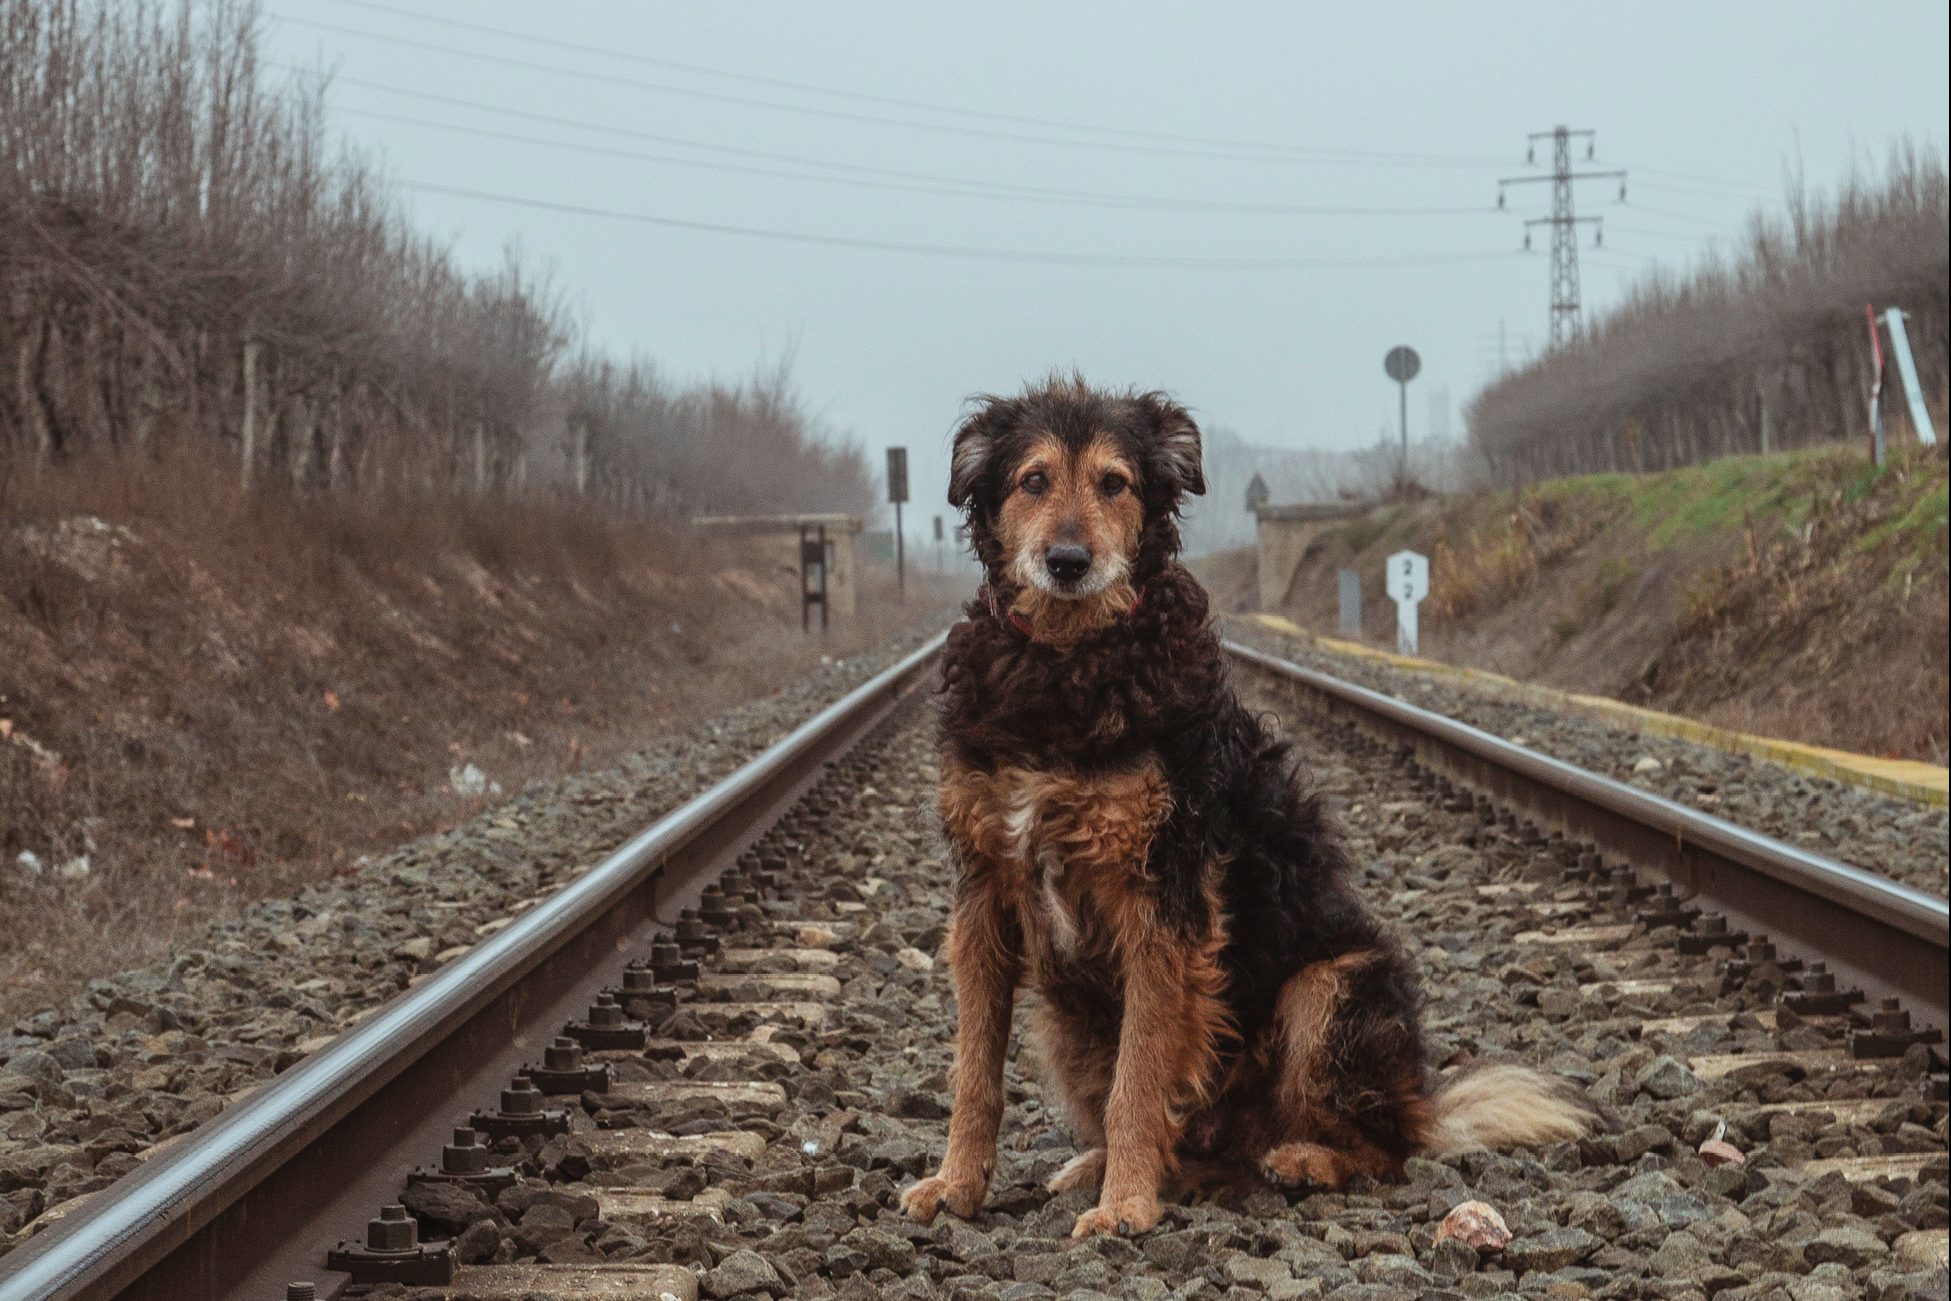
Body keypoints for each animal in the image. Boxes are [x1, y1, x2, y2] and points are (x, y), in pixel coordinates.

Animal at [905, 374, 1592, 1240]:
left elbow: (1139, 1077)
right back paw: (1108, 1165)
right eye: (1032, 479)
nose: (1067, 561)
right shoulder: (984, 889)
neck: (1064, 661)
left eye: (1114, 483)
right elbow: (974, 1070)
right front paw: (956, 1184)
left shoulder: (1162, 900)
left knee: (1384, 1148)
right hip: (1066, 1023)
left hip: (1329, 988)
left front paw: (1125, 1205)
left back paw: (1297, 1159)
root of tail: (1419, 1101)